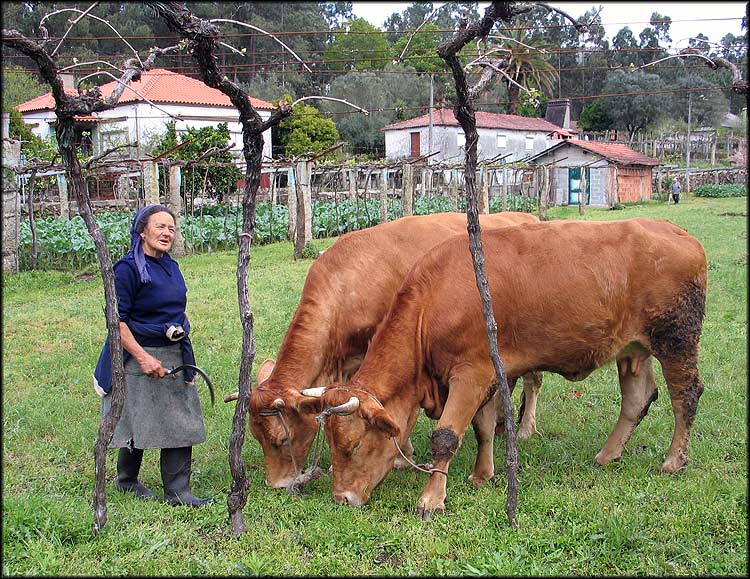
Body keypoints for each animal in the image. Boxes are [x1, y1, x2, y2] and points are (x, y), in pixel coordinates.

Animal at [238, 210, 544, 490]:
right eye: (257, 437)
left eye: (281, 439)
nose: (277, 484)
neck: (347, 283)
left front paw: (401, 454)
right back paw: (502, 423)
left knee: (532, 380)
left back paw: (525, 428)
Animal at [316, 218, 712, 516]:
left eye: (352, 446)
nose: (342, 498)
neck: (434, 302)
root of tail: (678, 233)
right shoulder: (491, 374)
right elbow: (483, 427)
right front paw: (482, 474)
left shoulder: (471, 373)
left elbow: (446, 436)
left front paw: (431, 499)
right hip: (633, 349)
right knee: (637, 399)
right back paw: (607, 454)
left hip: (676, 339)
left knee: (686, 396)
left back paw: (674, 460)